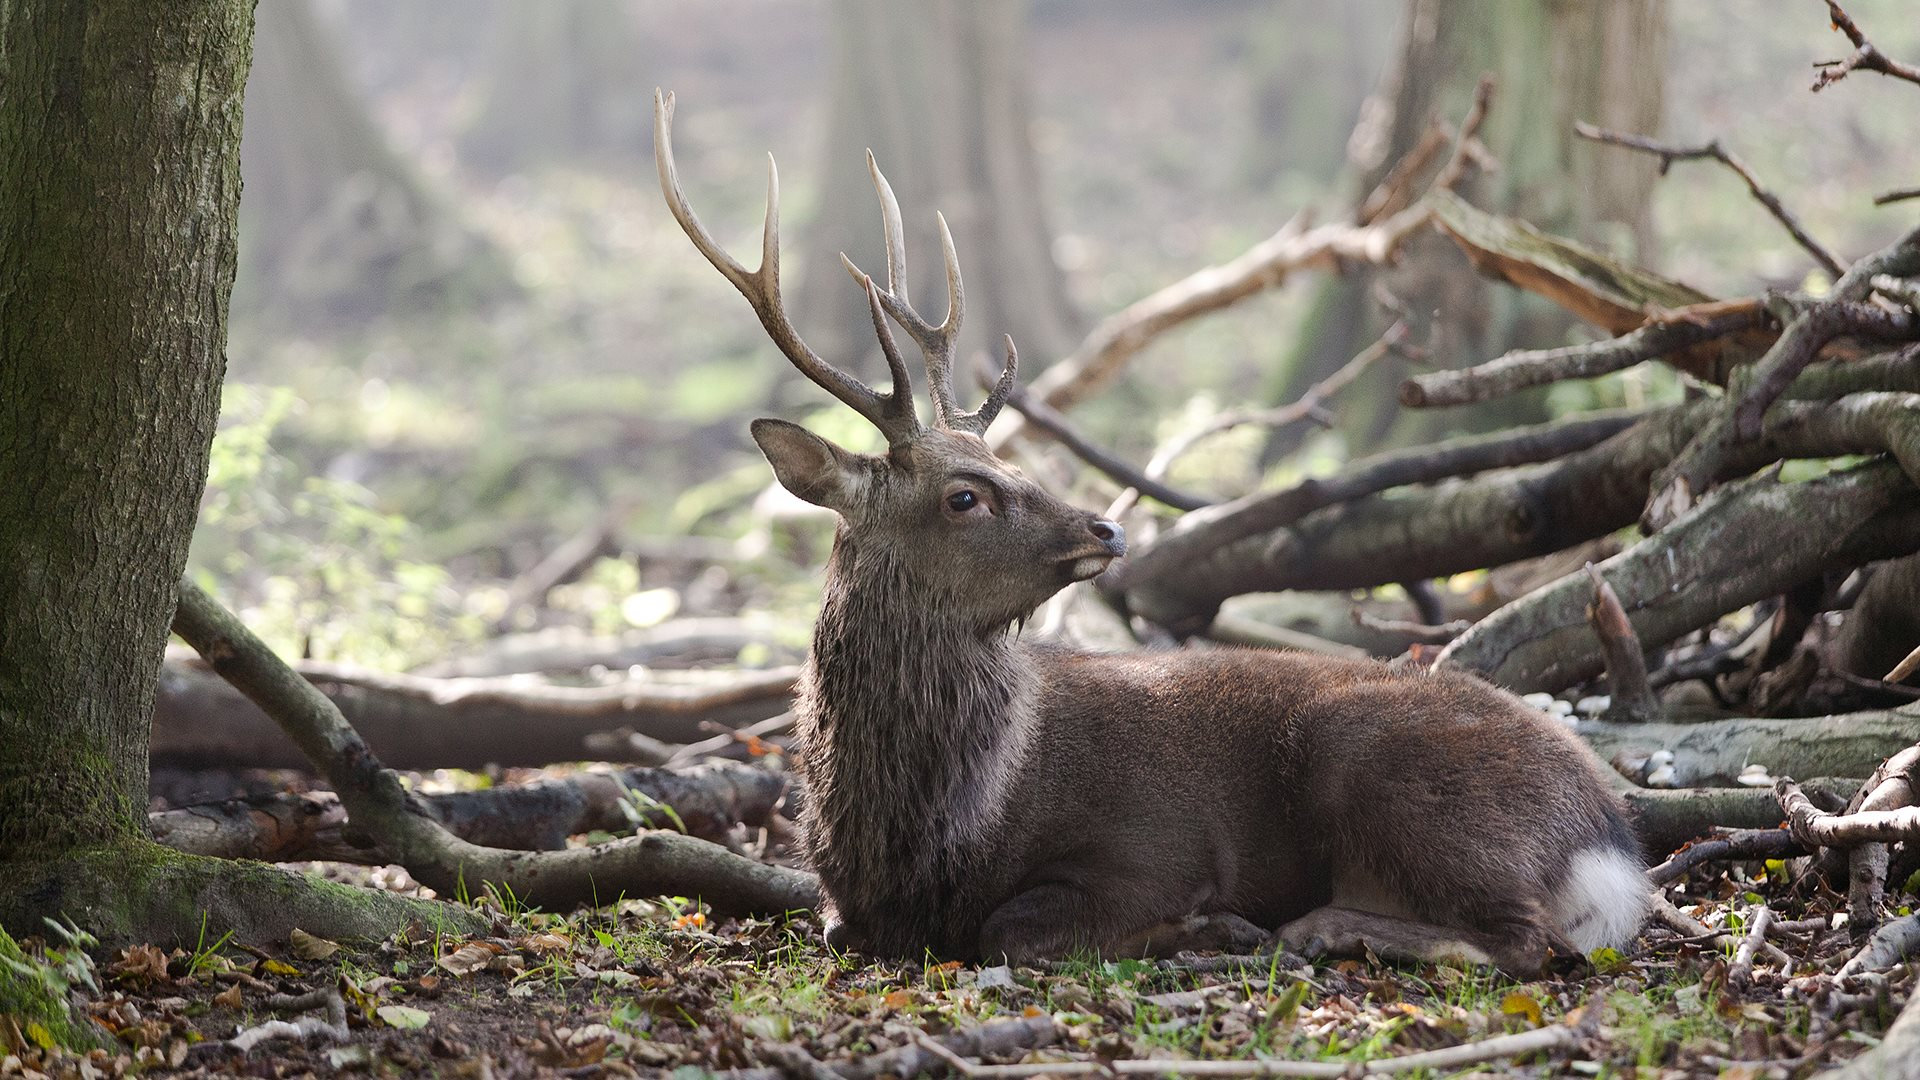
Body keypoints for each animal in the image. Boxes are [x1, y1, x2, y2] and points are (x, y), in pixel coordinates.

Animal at [652, 90, 1648, 974]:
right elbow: (845, 928)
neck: (935, 834)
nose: (1107, 528)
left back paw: (1312, 928)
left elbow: (1009, 928)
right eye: (966, 495)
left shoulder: (1150, 847)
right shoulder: (843, 904)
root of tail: (1611, 845)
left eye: (1011, 463)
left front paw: (1204, 926)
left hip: (1383, 771)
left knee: (1530, 941)